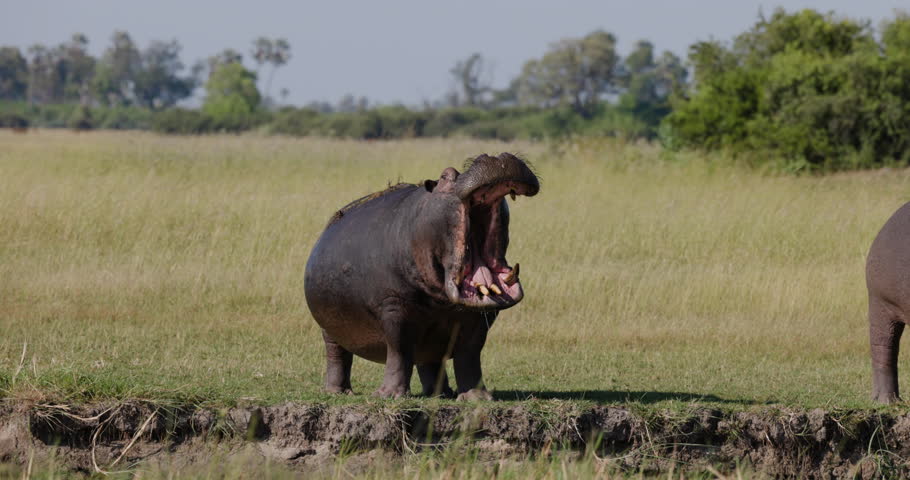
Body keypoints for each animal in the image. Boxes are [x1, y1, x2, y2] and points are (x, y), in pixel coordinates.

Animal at [304, 153, 540, 399]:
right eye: (445, 176)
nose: (495, 156)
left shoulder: (479, 317)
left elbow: (470, 354)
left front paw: (478, 398)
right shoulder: (393, 306)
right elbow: (398, 350)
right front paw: (389, 396)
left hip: (430, 342)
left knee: (430, 361)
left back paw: (440, 395)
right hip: (329, 328)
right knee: (337, 355)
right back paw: (338, 392)